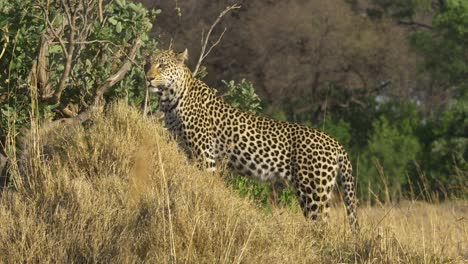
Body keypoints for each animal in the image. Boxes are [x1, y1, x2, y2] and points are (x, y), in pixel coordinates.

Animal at [146, 49, 358, 231]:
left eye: (162, 65)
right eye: (147, 64)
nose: (148, 78)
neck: (170, 100)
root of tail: (336, 143)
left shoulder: (204, 155)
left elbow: (205, 185)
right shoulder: (184, 150)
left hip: (313, 193)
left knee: (322, 227)